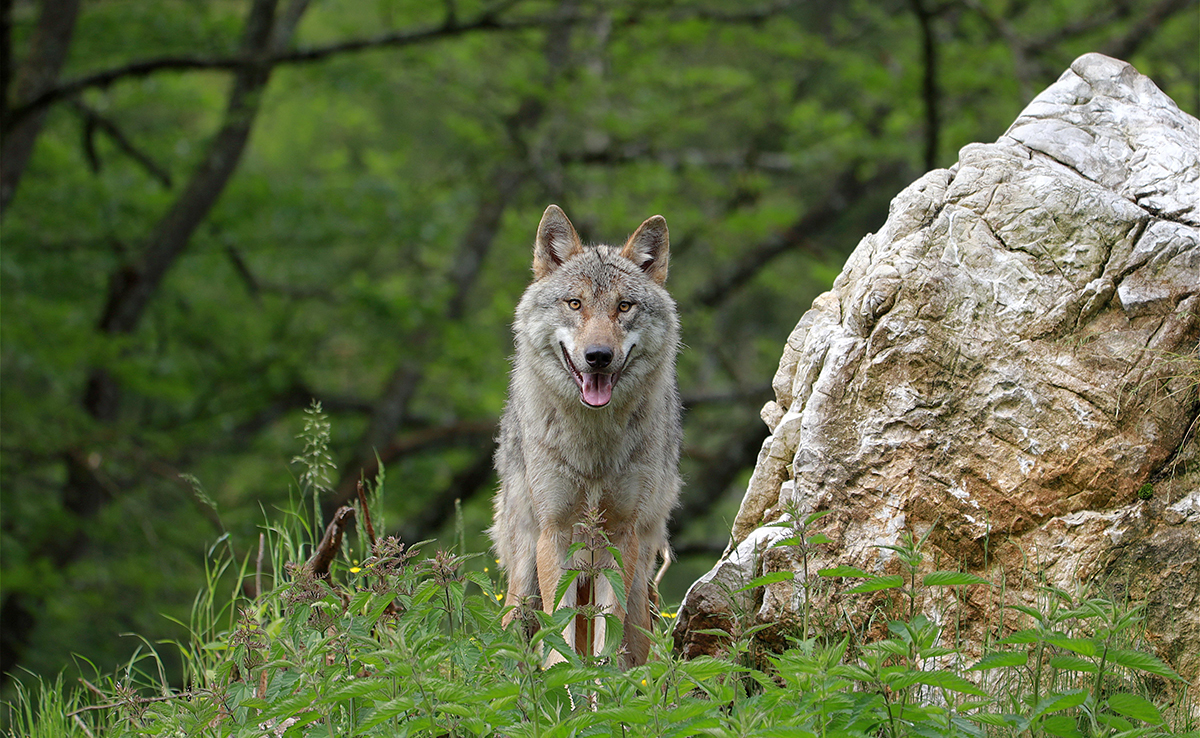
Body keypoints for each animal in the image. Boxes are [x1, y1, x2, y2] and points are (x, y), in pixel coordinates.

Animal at [489, 204, 686, 672]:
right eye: (575, 303)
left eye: (624, 306)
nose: (598, 356)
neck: (594, 449)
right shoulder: (555, 535)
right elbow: (558, 639)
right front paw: (565, 688)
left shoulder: (620, 538)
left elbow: (605, 643)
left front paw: (601, 690)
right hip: (524, 578)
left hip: (639, 586)